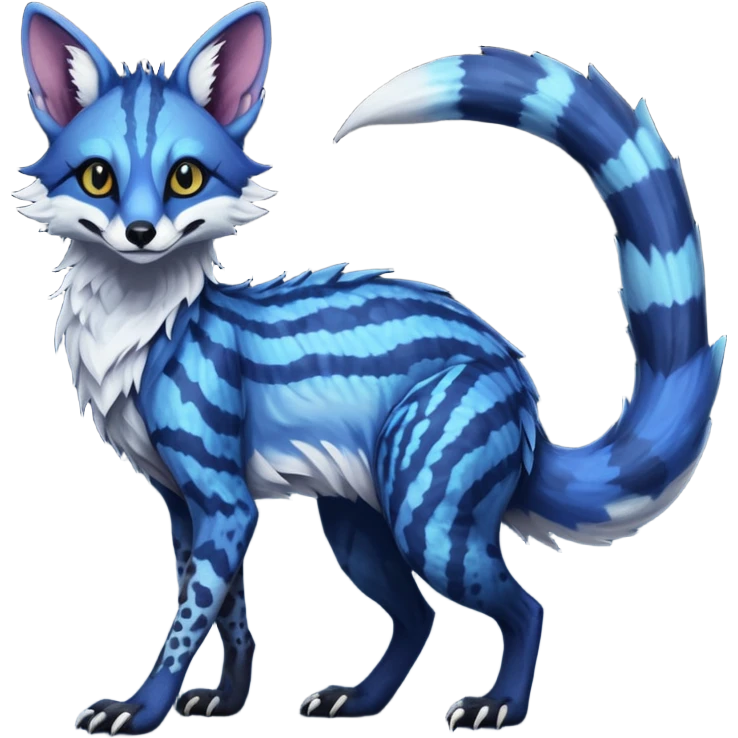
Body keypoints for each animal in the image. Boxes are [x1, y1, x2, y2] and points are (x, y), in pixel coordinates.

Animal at [15, 1, 725, 736]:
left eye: (186, 177)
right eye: (97, 177)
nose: (140, 235)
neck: (141, 331)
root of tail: (519, 384)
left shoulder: (223, 497)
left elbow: (189, 617)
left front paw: (142, 708)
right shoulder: (183, 503)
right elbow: (227, 611)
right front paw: (226, 700)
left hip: (426, 511)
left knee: (526, 607)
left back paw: (500, 705)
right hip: (355, 519)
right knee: (418, 617)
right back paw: (360, 701)